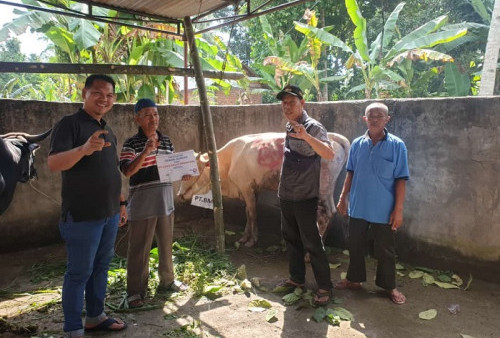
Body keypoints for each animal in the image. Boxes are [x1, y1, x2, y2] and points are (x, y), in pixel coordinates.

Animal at [178, 133, 350, 248]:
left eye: (191, 173)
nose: (179, 195)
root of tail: (333, 137)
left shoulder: (246, 187)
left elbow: (253, 213)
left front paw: (251, 241)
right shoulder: (253, 188)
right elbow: (248, 212)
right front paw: (243, 238)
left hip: (322, 188)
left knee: (324, 214)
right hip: (328, 189)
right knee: (332, 212)